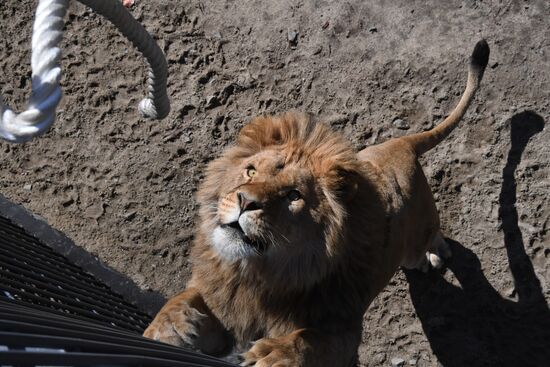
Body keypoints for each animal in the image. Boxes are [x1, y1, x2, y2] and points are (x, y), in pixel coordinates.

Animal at [143, 41, 492, 367]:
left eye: (293, 196)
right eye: (251, 171)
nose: (245, 200)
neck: (255, 276)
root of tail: (400, 144)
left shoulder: (344, 333)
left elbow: (309, 340)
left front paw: (274, 355)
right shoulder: (223, 300)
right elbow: (185, 297)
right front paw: (169, 327)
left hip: (415, 242)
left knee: (436, 238)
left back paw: (436, 252)